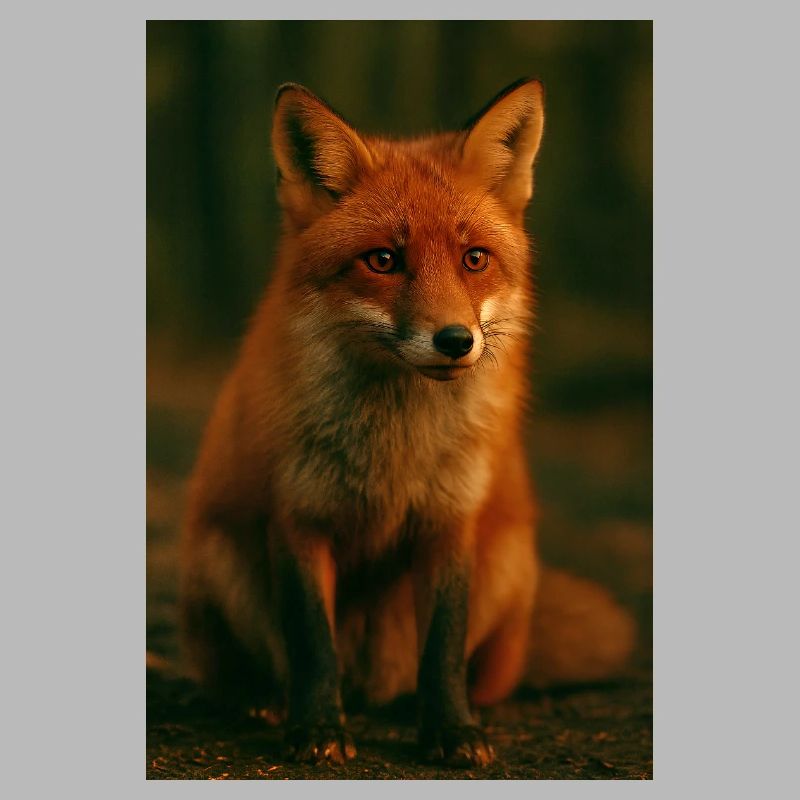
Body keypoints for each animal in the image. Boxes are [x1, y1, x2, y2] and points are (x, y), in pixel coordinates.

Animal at [179, 78, 635, 768]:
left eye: (474, 258)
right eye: (383, 260)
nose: (456, 340)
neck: (396, 447)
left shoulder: (450, 520)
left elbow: (443, 646)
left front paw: (452, 731)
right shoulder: (298, 517)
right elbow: (311, 643)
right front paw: (317, 729)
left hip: (508, 562)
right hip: (218, 555)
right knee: (250, 669)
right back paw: (263, 701)